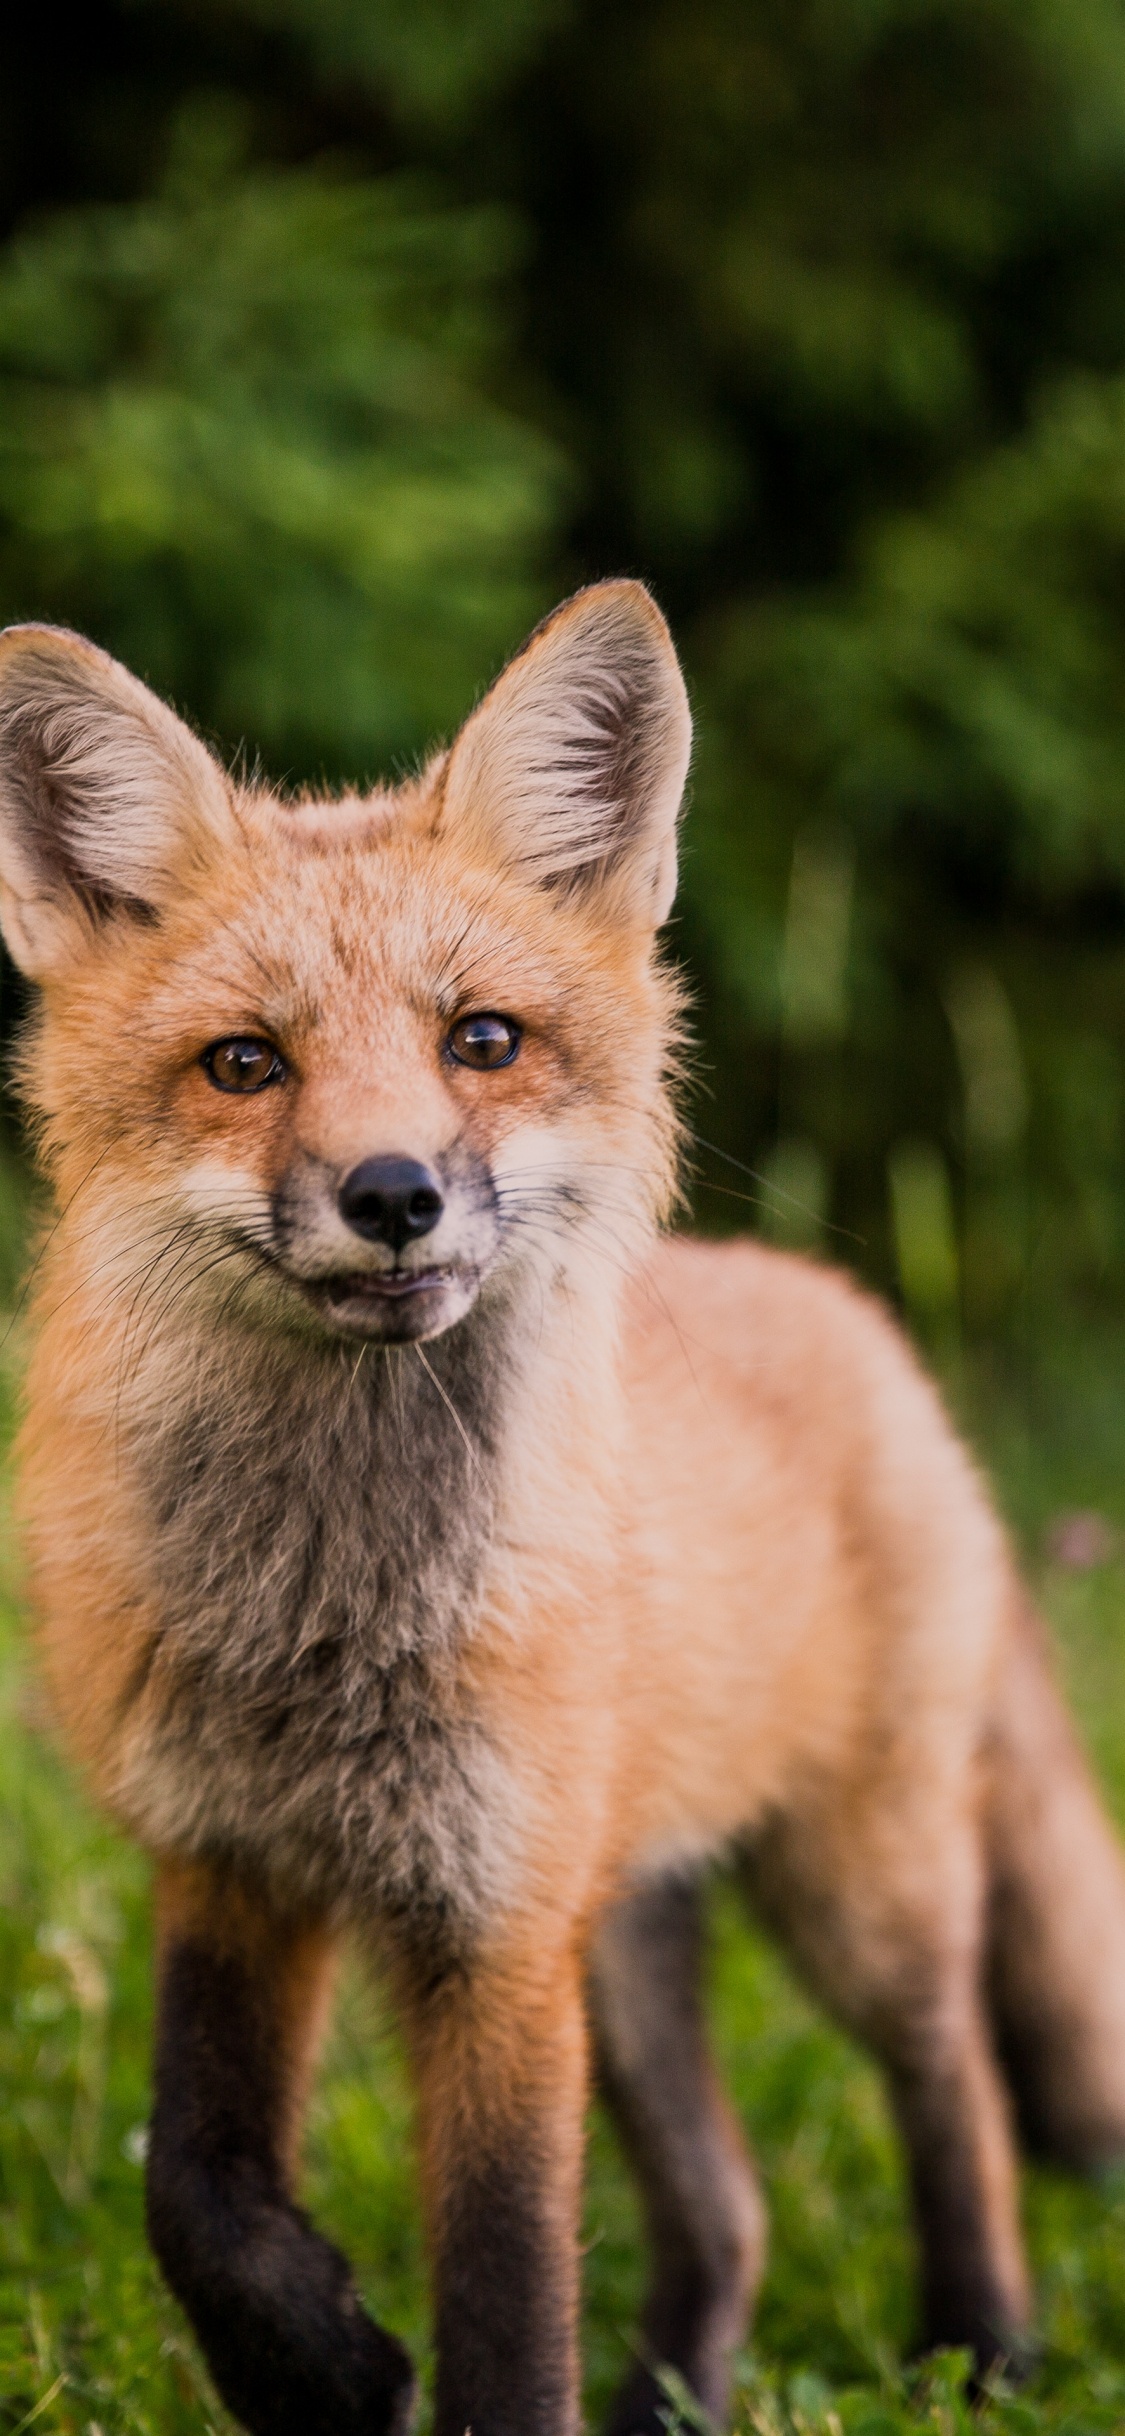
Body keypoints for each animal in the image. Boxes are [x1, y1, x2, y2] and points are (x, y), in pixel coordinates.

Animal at [2, 583, 1125, 2436]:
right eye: (244, 1064)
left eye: (482, 1042)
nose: (394, 1193)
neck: (333, 1624)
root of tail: (854, 1318)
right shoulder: (229, 1863)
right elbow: (198, 2187)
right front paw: (319, 2366)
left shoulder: (498, 1928)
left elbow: (510, 2286)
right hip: (636, 1934)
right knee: (731, 2204)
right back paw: (680, 2392)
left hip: (855, 1886)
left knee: (952, 2070)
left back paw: (982, 2347)